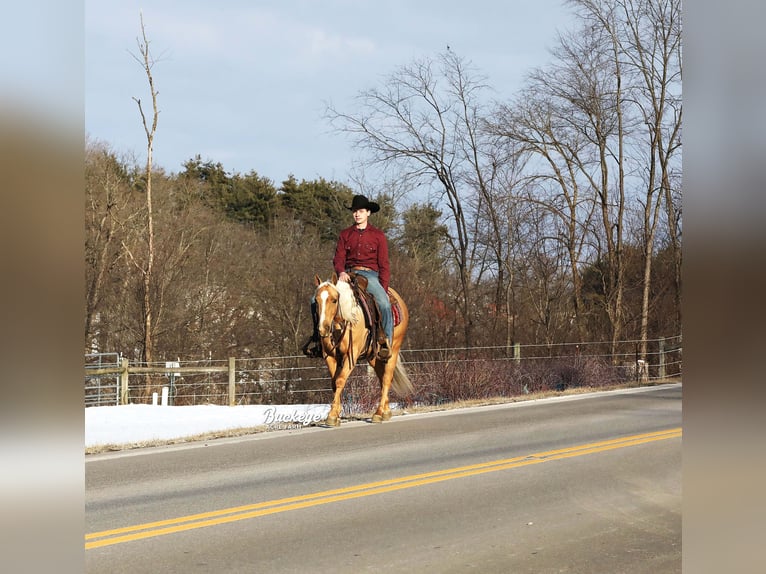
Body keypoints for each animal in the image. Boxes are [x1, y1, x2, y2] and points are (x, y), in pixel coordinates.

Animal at [312, 274, 414, 428]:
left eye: (334, 300)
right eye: (316, 301)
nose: (323, 329)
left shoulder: (351, 355)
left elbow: (340, 380)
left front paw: (332, 416)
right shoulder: (330, 356)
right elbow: (334, 383)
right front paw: (336, 414)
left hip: (394, 350)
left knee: (387, 378)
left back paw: (378, 413)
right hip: (373, 357)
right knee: (381, 377)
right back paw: (385, 411)